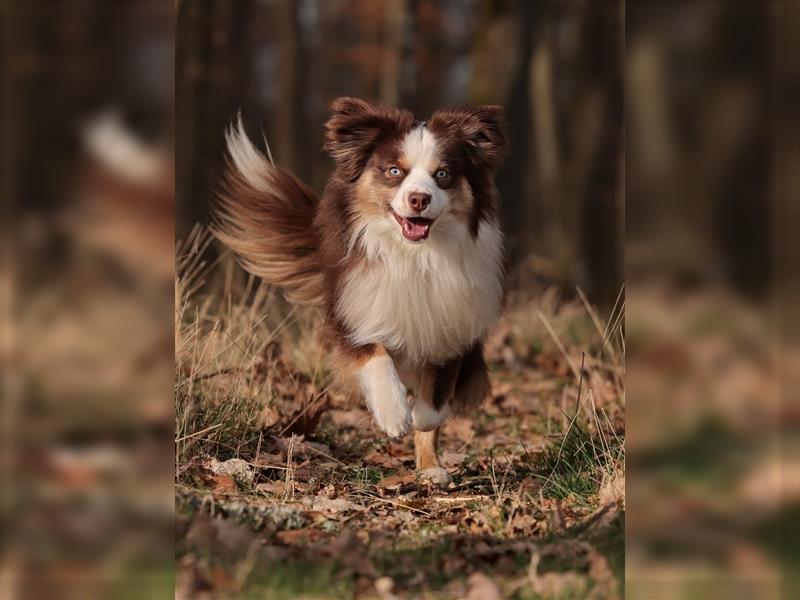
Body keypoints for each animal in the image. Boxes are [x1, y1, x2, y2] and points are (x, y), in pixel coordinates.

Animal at [212, 97, 506, 482]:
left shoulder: (451, 327)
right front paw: (394, 413)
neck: (413, 256)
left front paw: (421, 421)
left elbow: (434, 402)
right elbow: (374, 353)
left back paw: (431, 469)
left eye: (442, 174)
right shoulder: (355, 308)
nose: (419, 199)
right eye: (394, 171)